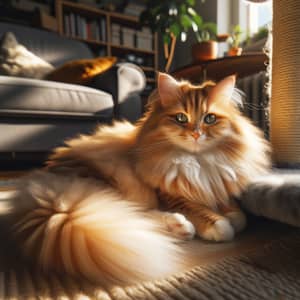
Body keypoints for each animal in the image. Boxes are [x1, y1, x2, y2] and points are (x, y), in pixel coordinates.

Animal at [0, 72, 270, 286]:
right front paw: (219, 225)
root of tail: (48, 190)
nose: (195, 134)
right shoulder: (169, 196)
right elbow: (210, 217)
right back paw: (180, 227)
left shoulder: (218, 187)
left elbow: (239, 215)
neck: (197, 163)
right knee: (129, 215)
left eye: (210, 118)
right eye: (181, 118)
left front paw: (232, 215)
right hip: (112, 184)